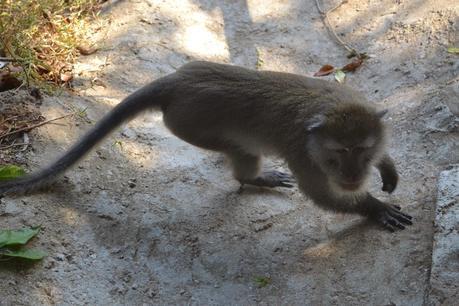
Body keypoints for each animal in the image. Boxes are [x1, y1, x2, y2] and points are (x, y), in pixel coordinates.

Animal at [0, 60, 414, 232]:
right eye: (338, 155)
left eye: (362, 150)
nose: (354, 177)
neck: (328, 106)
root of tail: (175, 81)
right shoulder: (304, 155)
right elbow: (323, 196)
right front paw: (373, 208)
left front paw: (388, 167)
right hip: (190, 124)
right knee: (241, 151)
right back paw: (253, 178)